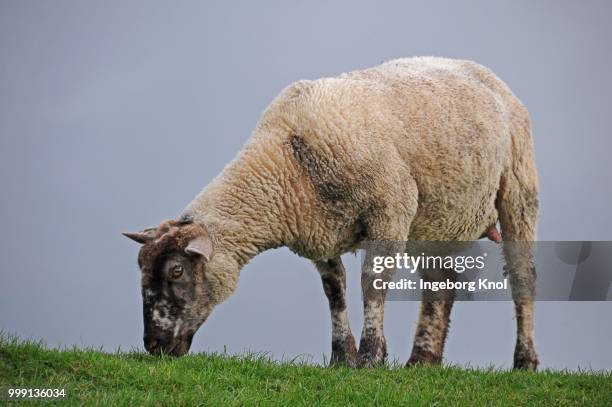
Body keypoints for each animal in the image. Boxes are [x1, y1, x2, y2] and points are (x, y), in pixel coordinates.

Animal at [125, 55, 540, 372]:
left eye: (176, 271)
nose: (153, 345)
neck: (286, 160)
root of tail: (480, 70)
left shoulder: (391, 206)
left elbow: (373, 282)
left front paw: (371, 358)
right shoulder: (318, 229)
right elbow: (334, 291)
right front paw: (342, 357)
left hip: (519, 189)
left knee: (523, 278)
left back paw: (524, 362)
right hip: (440, 218)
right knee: (439, 285)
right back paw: (423, 361)